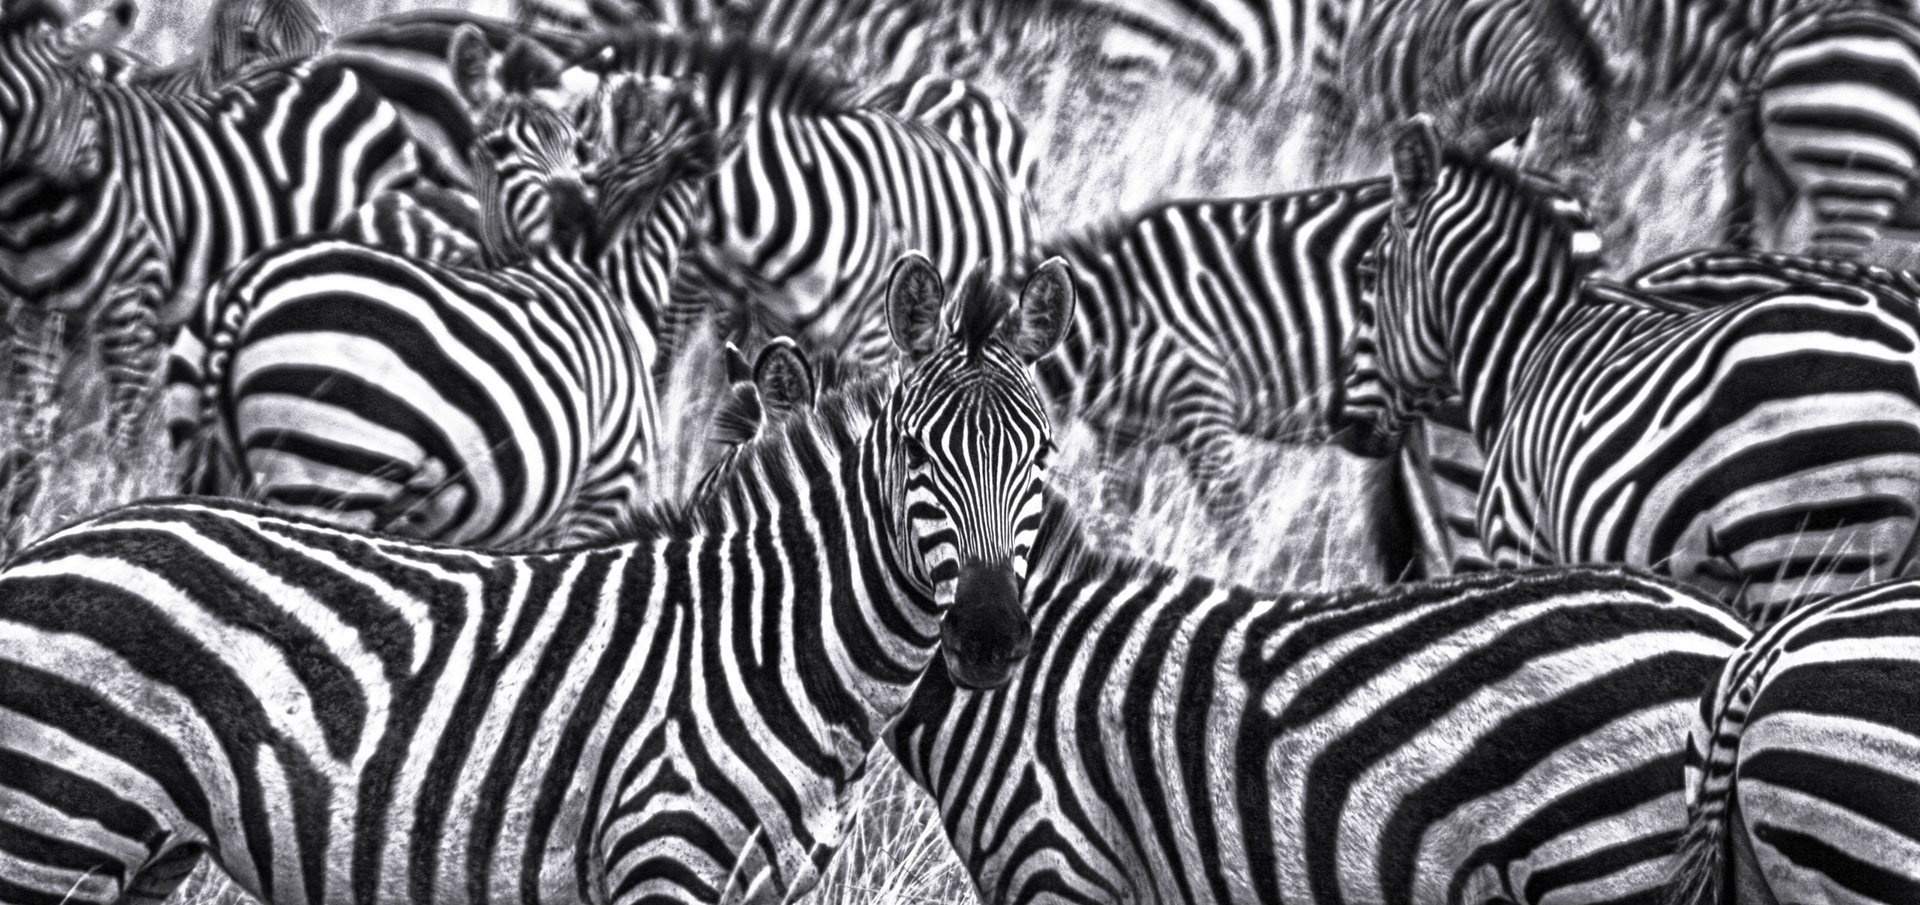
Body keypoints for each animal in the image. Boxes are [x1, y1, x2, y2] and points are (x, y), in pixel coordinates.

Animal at [0, 249, 1076, 905]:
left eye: (1043, 457)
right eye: (917, 453)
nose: (989, 640)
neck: (773, 649)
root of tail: (55, 541)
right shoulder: (662, 856)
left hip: (144, 849)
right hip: (56, 824)